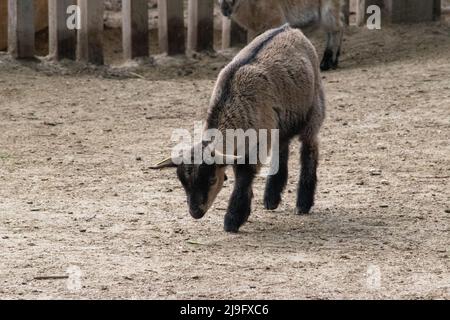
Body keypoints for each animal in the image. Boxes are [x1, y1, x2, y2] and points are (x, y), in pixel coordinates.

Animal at [153, 24, 326, 230]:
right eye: (183, 183)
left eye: (212, 179)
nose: (195, 213)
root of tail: (289, 28)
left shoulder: (256, 144)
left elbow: (244, 177)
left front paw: (233, 219)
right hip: (281, 123)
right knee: (282, 148)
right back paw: (271, 199)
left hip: (314, 109)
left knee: (309, 150)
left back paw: (303, 204)